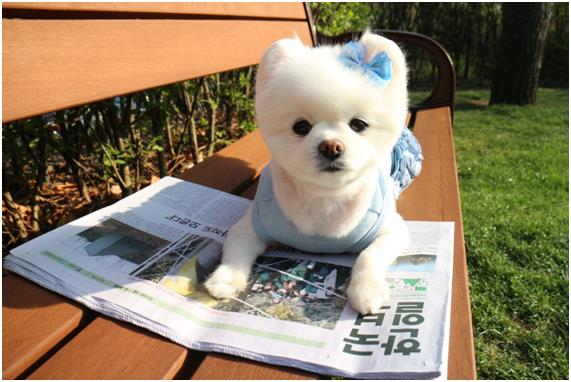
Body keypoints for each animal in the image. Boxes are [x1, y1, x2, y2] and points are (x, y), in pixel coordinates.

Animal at [206, 32, 416, 314]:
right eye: (301, 127)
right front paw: (225, 279)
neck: (324, 197)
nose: (331, 146)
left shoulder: (392, 231)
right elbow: (235, 251)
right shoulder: (249, 226)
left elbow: (369, 255)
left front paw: (366, 289)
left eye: (358, 124)